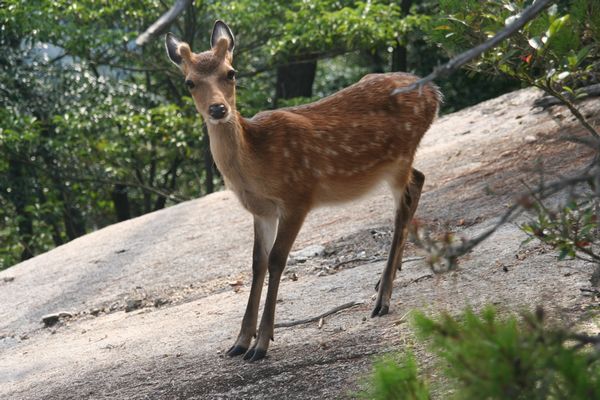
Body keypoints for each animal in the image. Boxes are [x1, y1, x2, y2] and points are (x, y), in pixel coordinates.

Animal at [165, 20, 441, 362]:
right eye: (189, 82)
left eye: (231, 72)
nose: (218, 109)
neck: (256, 164)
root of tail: (435, 92)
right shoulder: (262, 211)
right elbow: (256, 263)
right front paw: (240, 341)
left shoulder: (298, 196)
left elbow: (277, 260)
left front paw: (261, 344)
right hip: (398, 162)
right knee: (419, 180)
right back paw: (384, 281)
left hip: (399, 157)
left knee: (408, 195)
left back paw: (382, 299)